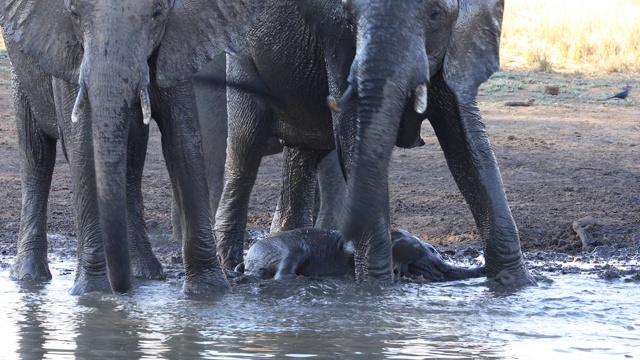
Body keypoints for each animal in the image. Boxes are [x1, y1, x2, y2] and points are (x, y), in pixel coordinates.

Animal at [0, 0, 264, 296]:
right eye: (74, 14)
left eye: (157, 14)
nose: (121, 289)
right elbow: (83, 144)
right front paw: (93, 293)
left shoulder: (176, 46)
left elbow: (183, 139)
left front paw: (210, 292)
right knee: (37, 154)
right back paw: (30, 276)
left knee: (133, 155)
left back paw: (144, 272)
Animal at [212, 0, 532, 286]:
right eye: (350, 17)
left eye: (435, 14)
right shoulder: (337, 38)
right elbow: (353, 132)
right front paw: (374, 292)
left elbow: (469, 141)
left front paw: (516, 284)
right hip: (240, 54)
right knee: (245, 149)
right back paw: (230, 267)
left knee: (303, 154)